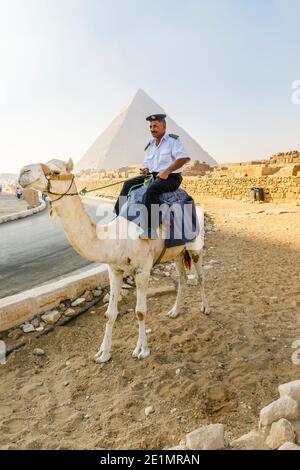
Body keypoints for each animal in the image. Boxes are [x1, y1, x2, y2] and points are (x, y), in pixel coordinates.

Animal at [18, 159, 210, 364]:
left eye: (55, 171)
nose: (23, 172)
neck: (116, 238)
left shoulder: (143, 269)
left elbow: (140, 311)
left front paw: (142, 350)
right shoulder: (114, 270)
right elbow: (110, 313)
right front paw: (103, 354)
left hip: (195, 245)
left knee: (200, 277)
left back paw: (206, 308)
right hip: (176, 253)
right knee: (182, 278)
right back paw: (174, 311)